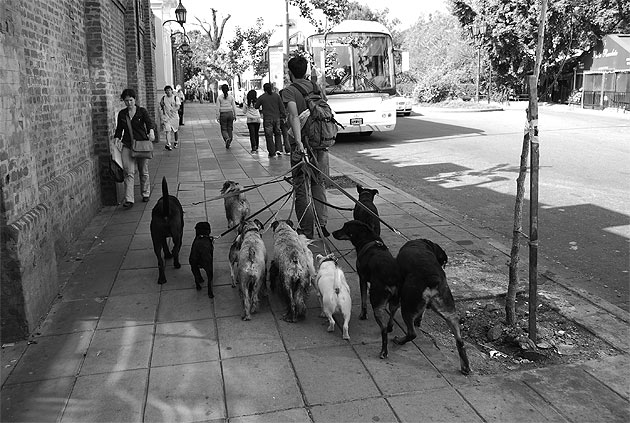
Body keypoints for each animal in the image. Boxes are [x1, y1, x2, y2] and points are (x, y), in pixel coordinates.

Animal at [334, 220, 402, 360]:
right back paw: (391, 327)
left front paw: (363, 315)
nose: (333, 233)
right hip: (395, 301)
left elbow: (363, 299)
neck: (367, 238)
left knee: (383, 329)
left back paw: (383, 352)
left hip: (376, 300)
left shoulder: (362, 278)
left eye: (345, 227)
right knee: (391, 316)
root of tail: (392, 278)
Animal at [398, 240, 472, 376]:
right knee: (459, 341)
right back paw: (465, 367)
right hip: (449, 311)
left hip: (407, 305)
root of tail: (433, 279)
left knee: (411, 333)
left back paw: (400, 340)